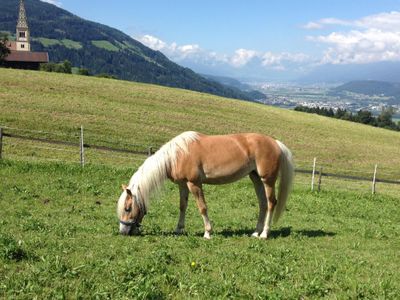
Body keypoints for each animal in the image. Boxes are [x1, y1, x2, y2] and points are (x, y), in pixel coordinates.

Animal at [115, 131, 294, 239]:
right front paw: (179, 229)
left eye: (128, 208)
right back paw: (256, 232)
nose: (123, 231)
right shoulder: (182, 185)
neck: (177, 155)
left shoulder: (194, 183)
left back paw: (264, 234)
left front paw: (207, 232)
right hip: (255, 178)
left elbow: (202, 207)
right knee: (262, 203)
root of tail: (275, 143)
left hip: (267, 180)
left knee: (271, 203)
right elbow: (182, 206)